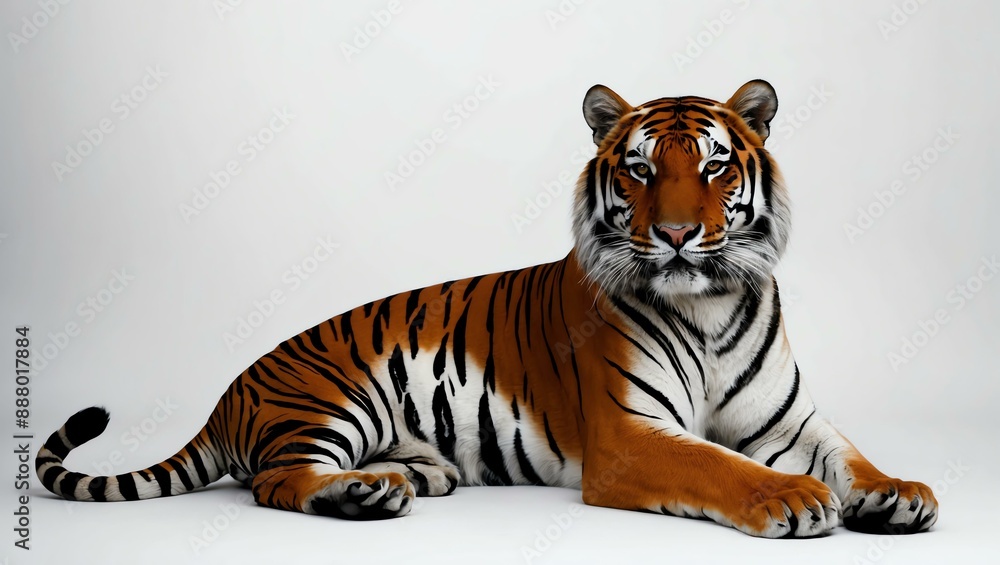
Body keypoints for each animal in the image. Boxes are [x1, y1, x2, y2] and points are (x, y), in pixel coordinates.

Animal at [37, 80, 937, 537]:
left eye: (715, 167)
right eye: (642, 170)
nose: (679, 234)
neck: (709, 302)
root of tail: (228, 392)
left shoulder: (790, 419)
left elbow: (850, 456)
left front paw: (896, 491)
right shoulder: (629, 435)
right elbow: (719, 464)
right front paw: (790, 499)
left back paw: (399, 478)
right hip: (329, 399)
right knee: (274, 481)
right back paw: (358, 497)